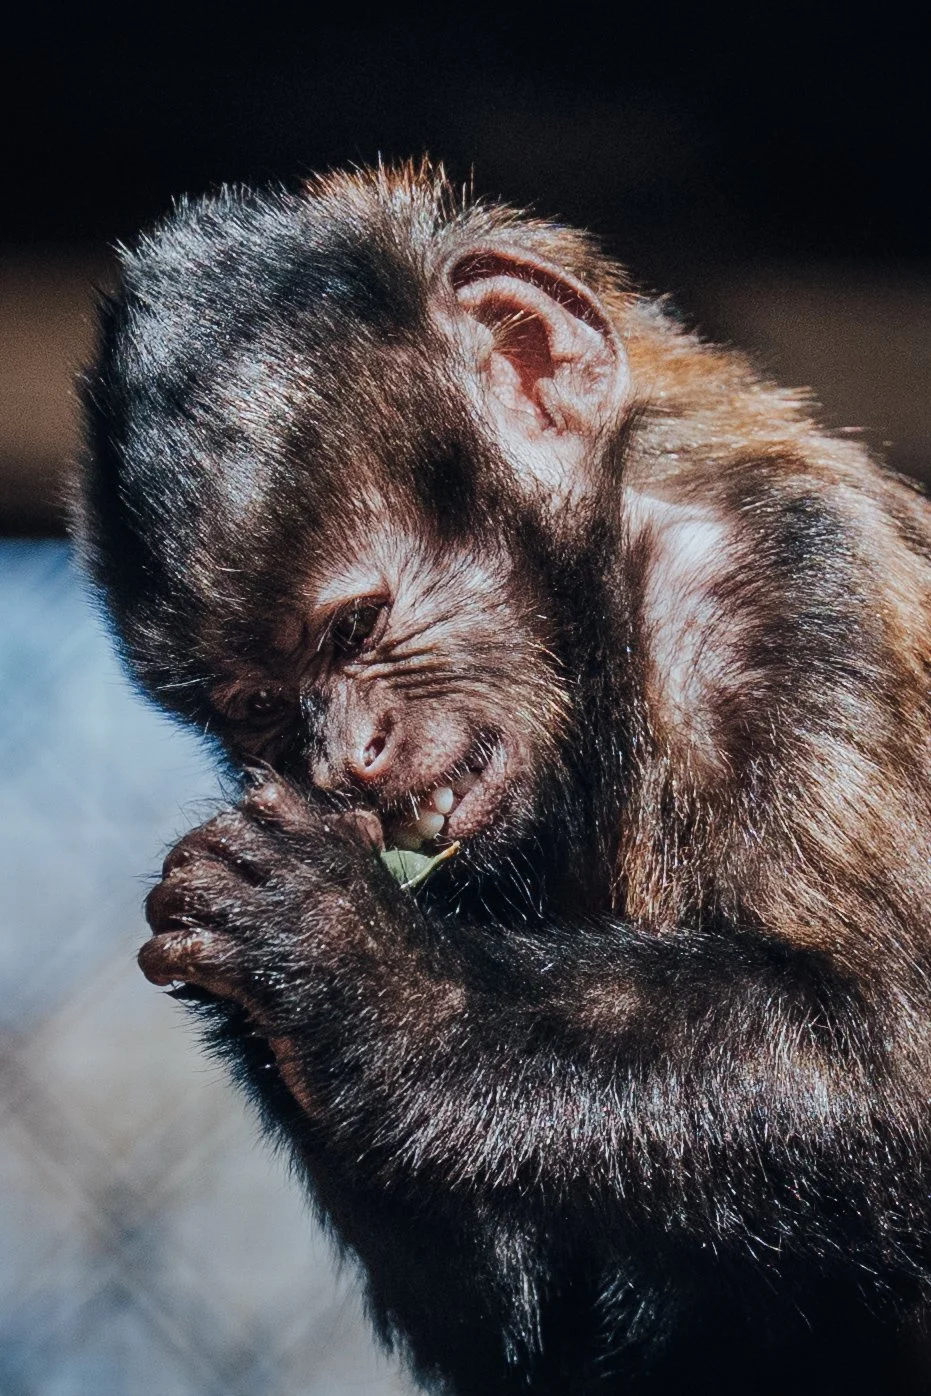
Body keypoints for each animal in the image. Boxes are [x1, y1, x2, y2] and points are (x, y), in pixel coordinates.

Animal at [77, 163, 931, 1394]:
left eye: (355, 628)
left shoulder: (796, 587)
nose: (340, 756)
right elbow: (539, 1333)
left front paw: (358, 971)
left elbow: (895, 1068)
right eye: (257, 709)